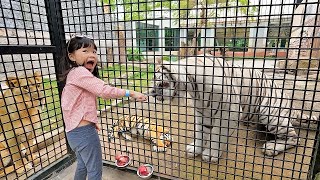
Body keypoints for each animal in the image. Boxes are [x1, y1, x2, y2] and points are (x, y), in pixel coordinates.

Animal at [151, 56, 318, 163]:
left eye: (161, 84)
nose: (152, 93)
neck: (193, 87)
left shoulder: (229, 112)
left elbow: (217, 135)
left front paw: (211, 154)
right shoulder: (202, 112)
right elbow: (200, 132)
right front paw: (195, 149)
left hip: (269, 113)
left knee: (295, 138)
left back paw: (271, 147)